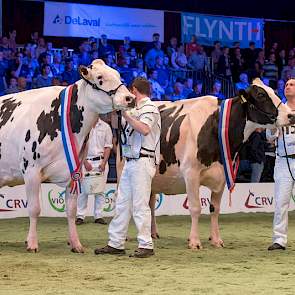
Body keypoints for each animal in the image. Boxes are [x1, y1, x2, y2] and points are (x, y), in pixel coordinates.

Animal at [0, 59, 136, 253]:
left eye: (118, 75)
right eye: (100, 78)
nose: (130, 98)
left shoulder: (75, 171)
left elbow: (71, 210)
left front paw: (76, 243)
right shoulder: (31, 170)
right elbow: (34, 208)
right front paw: (32, 243)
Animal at [119, 78, 295, 250]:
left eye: (275, 91)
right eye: (261, 95)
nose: (290, 115)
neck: (215, 126)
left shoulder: (223, 175)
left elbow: (214, 209)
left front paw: (216, 240)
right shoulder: (191, 173)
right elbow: (195, 207)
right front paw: (194, 241)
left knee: (149, 203)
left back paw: (153, 233)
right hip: (123, 170)